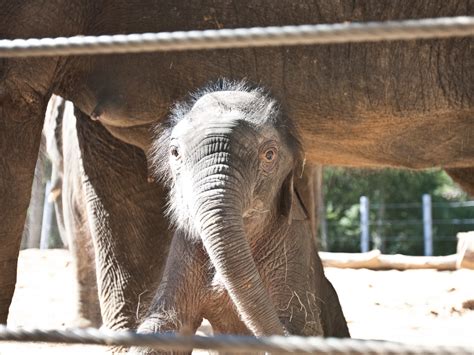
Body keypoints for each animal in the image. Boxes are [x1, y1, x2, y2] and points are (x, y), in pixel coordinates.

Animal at [133, 80, 348, 354]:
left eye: (269, 155)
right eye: (174, 153)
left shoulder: (294, 246)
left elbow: (302, 330)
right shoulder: (184, 247)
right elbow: (163, 327)